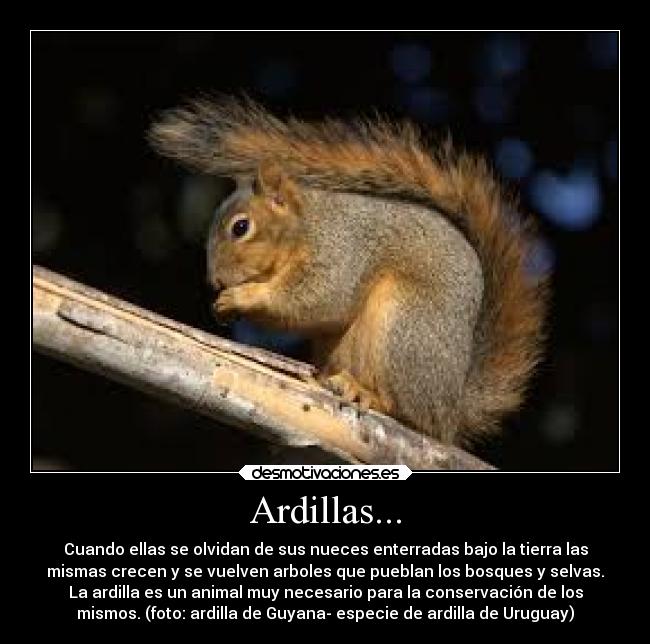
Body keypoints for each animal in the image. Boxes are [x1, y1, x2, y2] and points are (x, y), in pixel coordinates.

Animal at [148, 96, 548, 446]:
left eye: (241, 227)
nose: (214, 281)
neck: (308, 224)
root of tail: (452, 412)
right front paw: (222, 306)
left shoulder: (343, 250)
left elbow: (321, 298)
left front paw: (242, 297)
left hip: (405, 326)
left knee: (411, 414)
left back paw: (366, 394)